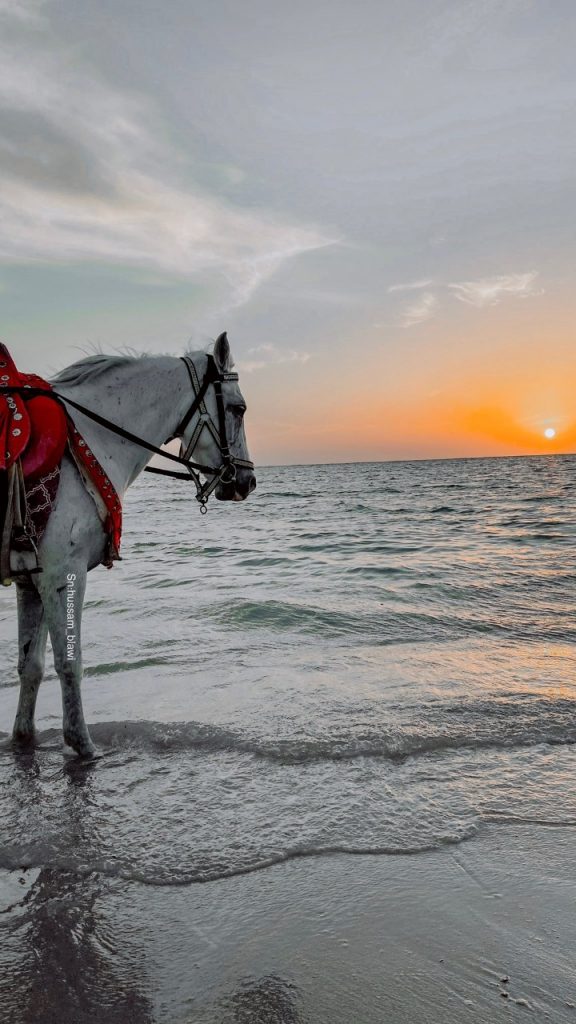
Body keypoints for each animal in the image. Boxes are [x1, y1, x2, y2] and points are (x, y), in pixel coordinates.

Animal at [7, 331, 254, 757]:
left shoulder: (30, 579)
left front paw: (23, 739)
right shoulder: (61, 574)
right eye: (237, 409)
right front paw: (82, 744)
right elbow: (69, 662)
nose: (247, 481)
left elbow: (31, 666)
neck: (85, 439)